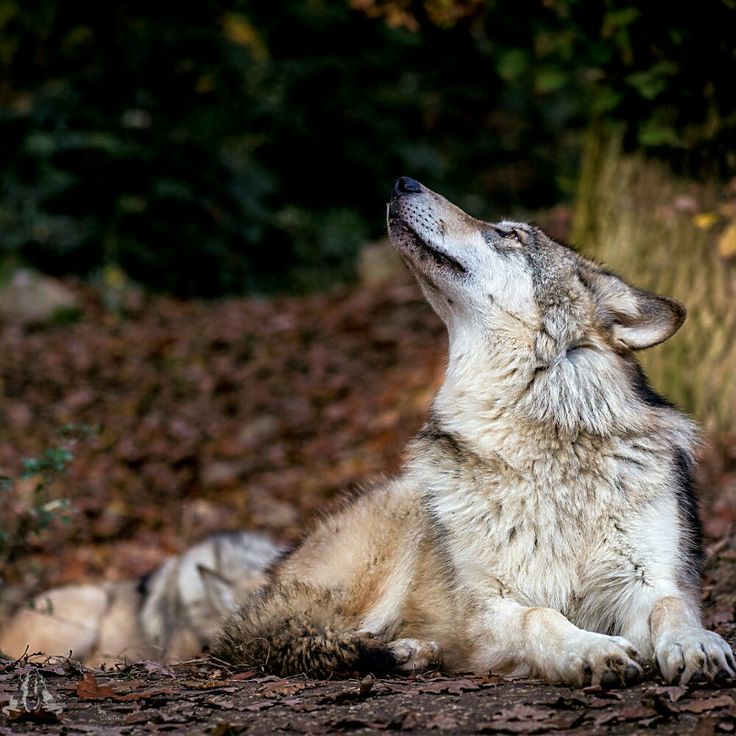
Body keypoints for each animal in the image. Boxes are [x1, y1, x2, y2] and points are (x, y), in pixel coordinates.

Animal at [216, 175, 732, 688]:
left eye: (509, 234)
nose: (403, 182)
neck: (550, 450)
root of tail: (278, 573)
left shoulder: (651, 579)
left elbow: (672, 607)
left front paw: (696, 644)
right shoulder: (485, 607)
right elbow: (541, 617)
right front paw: (589, 649)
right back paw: (402, 650)